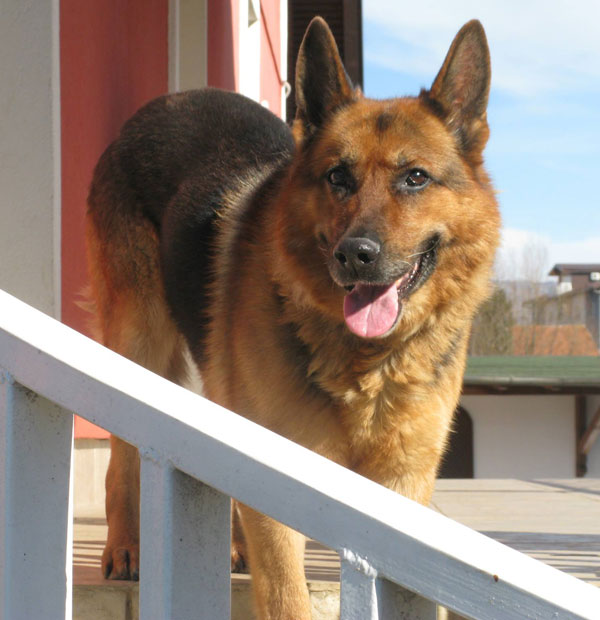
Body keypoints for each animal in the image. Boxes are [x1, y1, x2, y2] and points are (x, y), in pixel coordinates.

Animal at [86, 17, 500, 616]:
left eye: (416, 178)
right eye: (337, 177)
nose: (356, 255)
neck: (366, 363)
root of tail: (154, 107)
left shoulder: (402, 485)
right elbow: (286, 597)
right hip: (140, 339)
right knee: (122, 452)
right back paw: (126, 546)